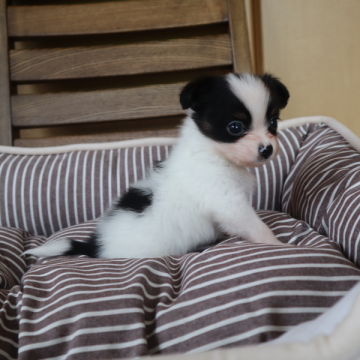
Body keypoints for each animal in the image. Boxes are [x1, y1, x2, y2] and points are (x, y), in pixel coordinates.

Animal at [26, 72, 290, 258]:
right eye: (235, 127)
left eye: (273, 122)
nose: (267, 149)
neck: (213, 153)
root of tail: (97, 246)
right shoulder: (228, 202)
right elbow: (256, 226)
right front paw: (277, 244)